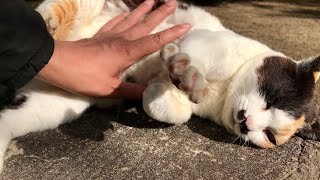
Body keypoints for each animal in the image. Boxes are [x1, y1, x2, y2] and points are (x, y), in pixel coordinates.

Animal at [0, 0, 320, 174]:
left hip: (60, 101)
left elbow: (175, 111)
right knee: (55, 10)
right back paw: (50, 25)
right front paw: (187, 75)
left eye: (269, 136)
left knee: (9, 120)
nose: (247, 122)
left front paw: (155, 92)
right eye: (271, 97)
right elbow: (190, 58)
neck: (222, 94)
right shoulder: (203, 40)